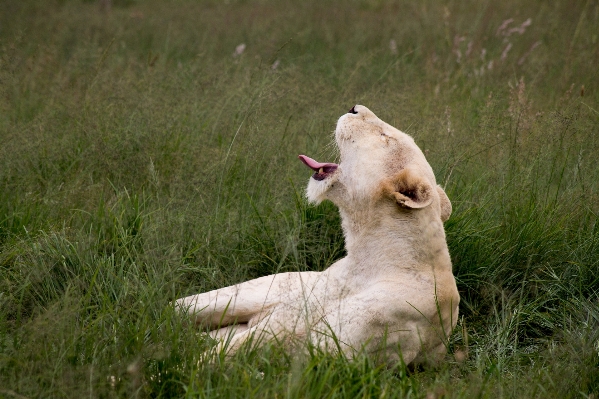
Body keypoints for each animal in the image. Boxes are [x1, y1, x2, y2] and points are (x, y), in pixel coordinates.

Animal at [176, 104, 462, 368]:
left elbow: (224, 357)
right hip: (248, 293)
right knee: (178, 307)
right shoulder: (293, 313)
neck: (365, 261)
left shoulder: (329, 351)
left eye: (384, 137)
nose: (354, 107)